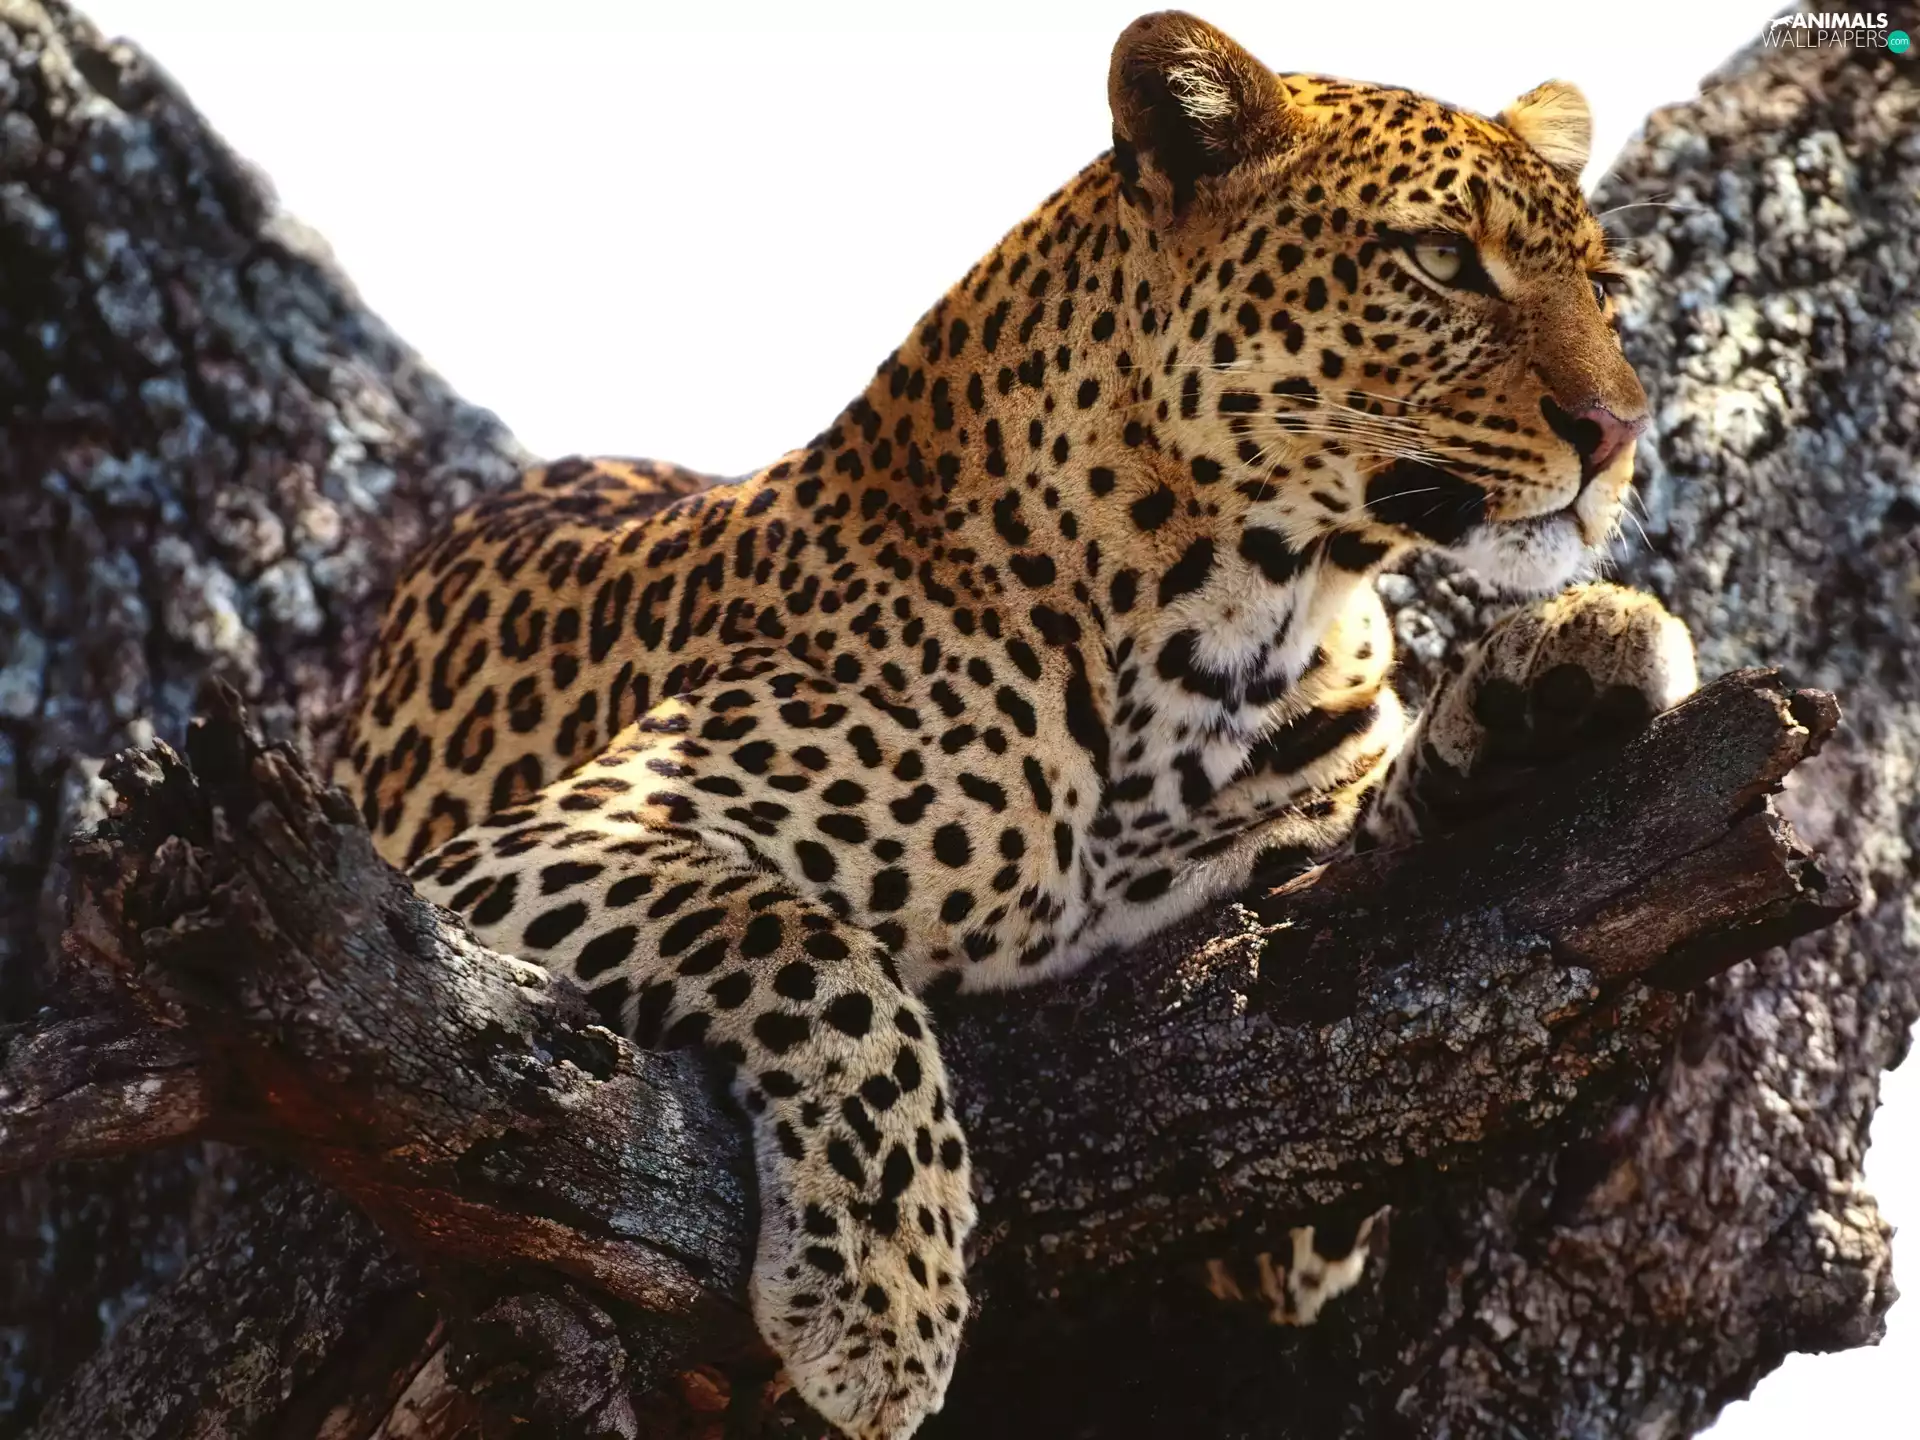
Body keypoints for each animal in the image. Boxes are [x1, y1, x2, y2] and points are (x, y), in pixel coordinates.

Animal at [337, 12, 1699, 1437]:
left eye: (1604, 288)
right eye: (1441, 260)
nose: (1617, 429)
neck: (1230, 623)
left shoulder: (1275, 1183)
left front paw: (1550, 695)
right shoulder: (518, 858)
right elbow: (814, 952)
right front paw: (884, 1292)